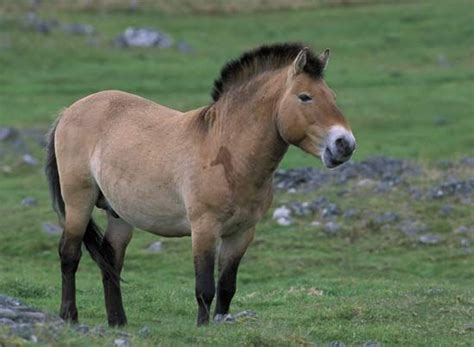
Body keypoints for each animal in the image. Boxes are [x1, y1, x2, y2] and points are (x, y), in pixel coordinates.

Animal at [45, 42, 356, 328]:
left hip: (119, 214)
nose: (345, 144)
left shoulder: (242, 233)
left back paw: (118, 322)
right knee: (69, 254)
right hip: (78, 201)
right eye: (305, 97)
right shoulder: (205, 229)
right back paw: (69, 316)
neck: (228, 154)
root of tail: (69, 111)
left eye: (333, 97)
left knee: (111, 259)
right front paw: (204, 328)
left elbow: (227, 287)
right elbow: (205, 287)